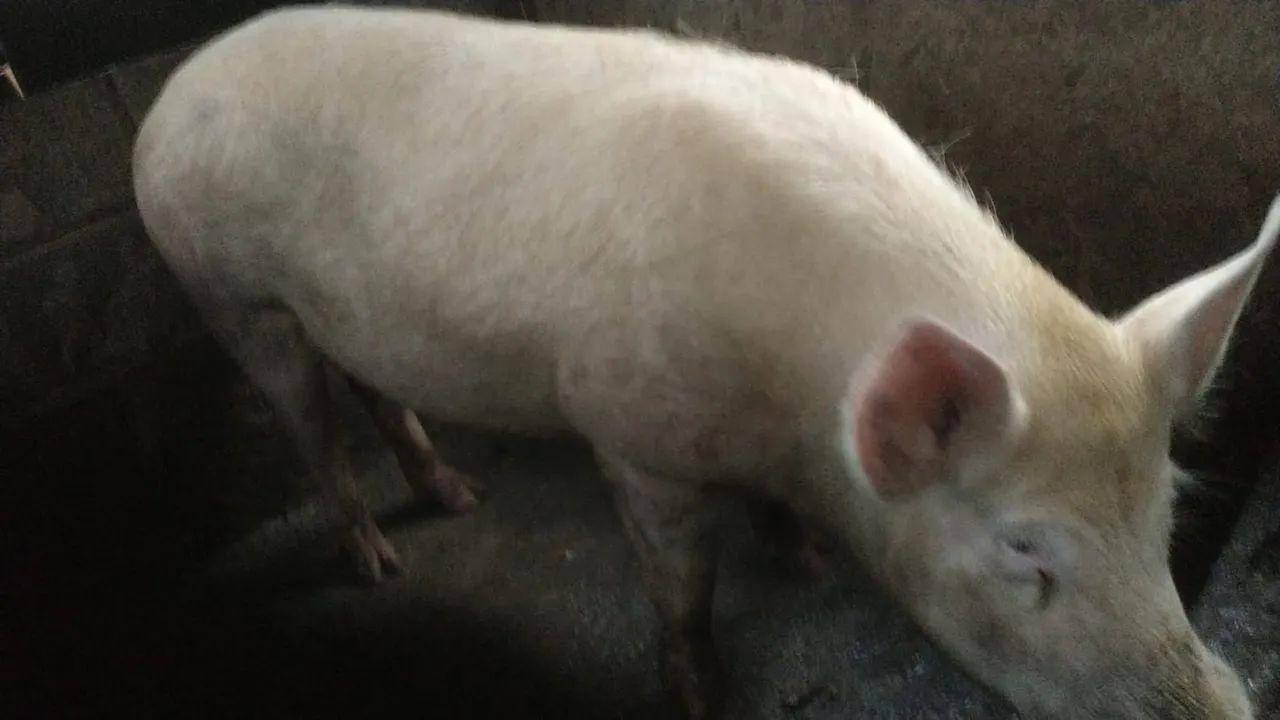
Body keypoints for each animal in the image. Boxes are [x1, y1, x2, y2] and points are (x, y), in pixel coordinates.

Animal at [131, 5, 1276, 719]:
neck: (796, 411)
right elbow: (680, 588)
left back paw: (457, 497)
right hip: (225, 290)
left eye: (1166, 514)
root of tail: (171, 91)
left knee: (373, 386)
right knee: (307, 422)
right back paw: (380, 563)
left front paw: (802, 558)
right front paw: (705, 695)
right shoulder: (633, 437)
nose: (1223, 707)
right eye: (1025, 550)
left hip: (341, 309)